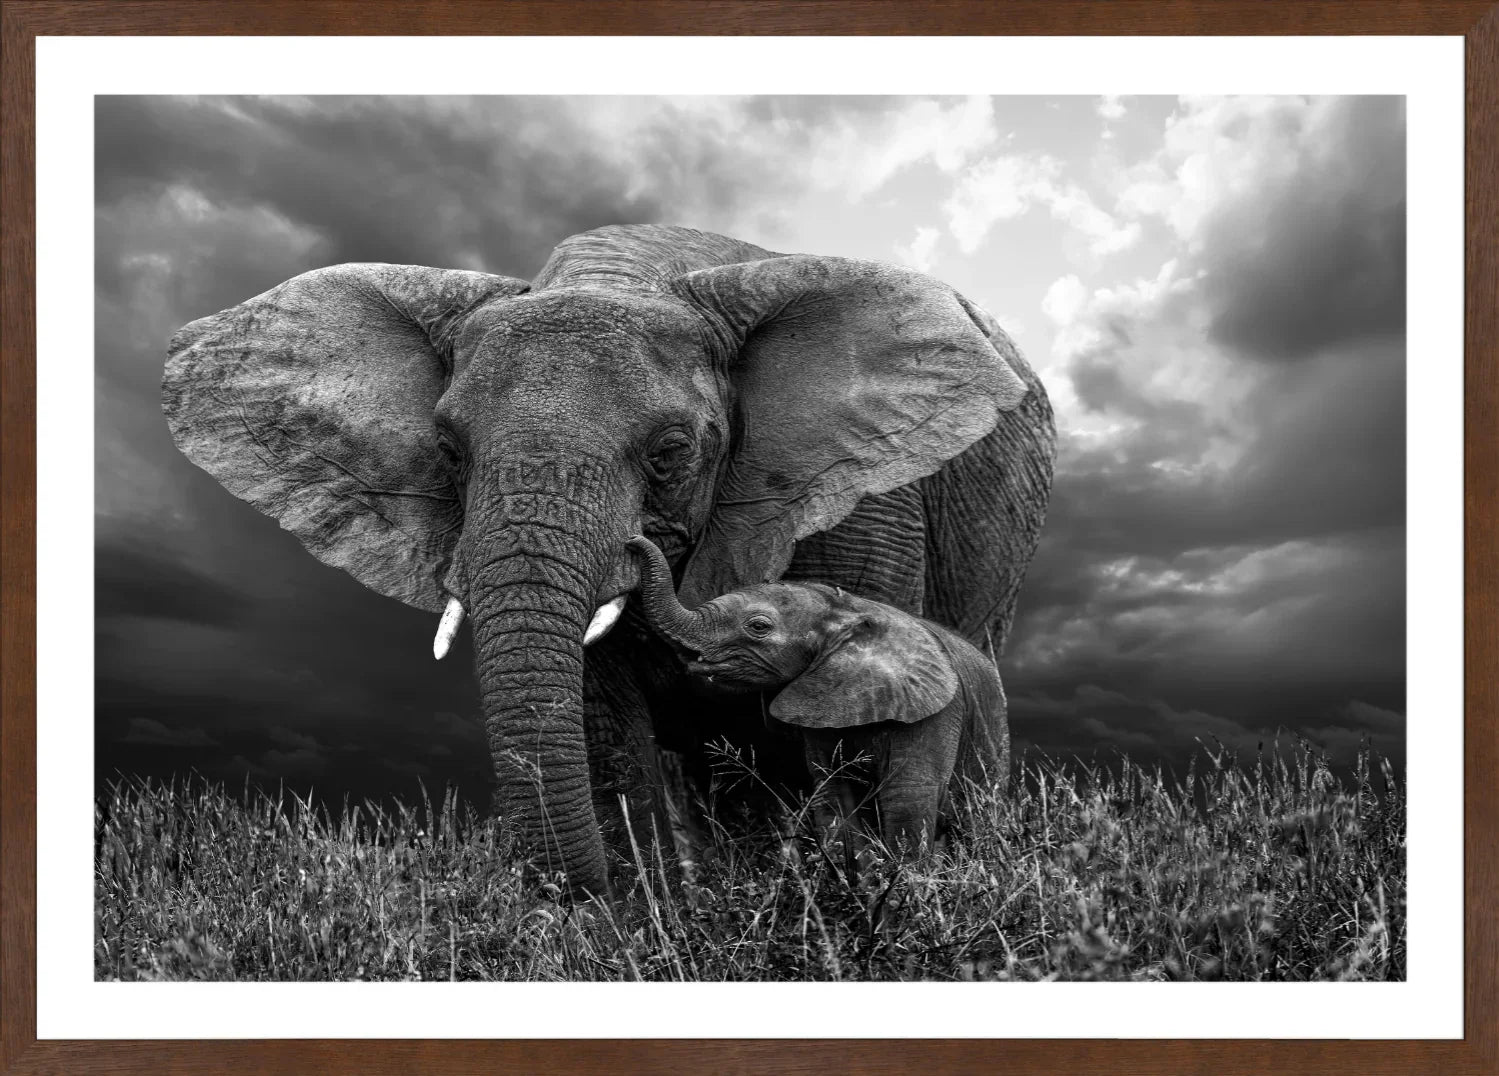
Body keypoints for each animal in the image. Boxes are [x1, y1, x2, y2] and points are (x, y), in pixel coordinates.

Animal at [628, 535, 1008, 857]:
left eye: (758, 627)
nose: (633, 541)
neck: (846, 611)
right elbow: (834, 797)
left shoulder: (934, 714)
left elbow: (908, 798)